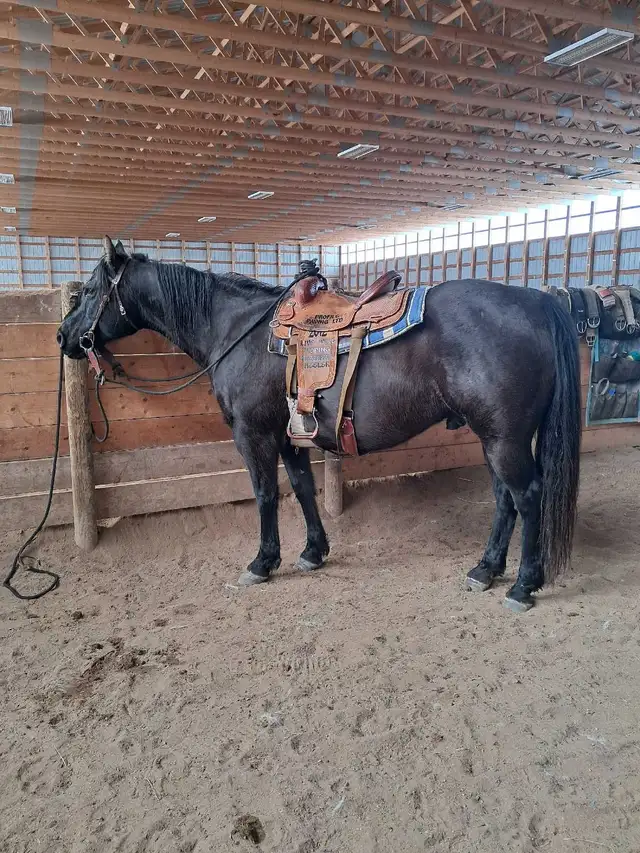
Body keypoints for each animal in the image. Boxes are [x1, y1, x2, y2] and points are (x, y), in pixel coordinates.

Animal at [57, 237, 581, 612]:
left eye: (88, 291)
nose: (63, 336)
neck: (237, 331)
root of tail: (536, 302)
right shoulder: (289, 435)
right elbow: (303, 488)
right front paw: (312, 551)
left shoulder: (253, 434)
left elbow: (266, 494)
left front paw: (263, 562)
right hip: (494, 437)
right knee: (504, 499)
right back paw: (485, 569)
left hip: (505, 439)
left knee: (527, 496)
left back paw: (523, 584)